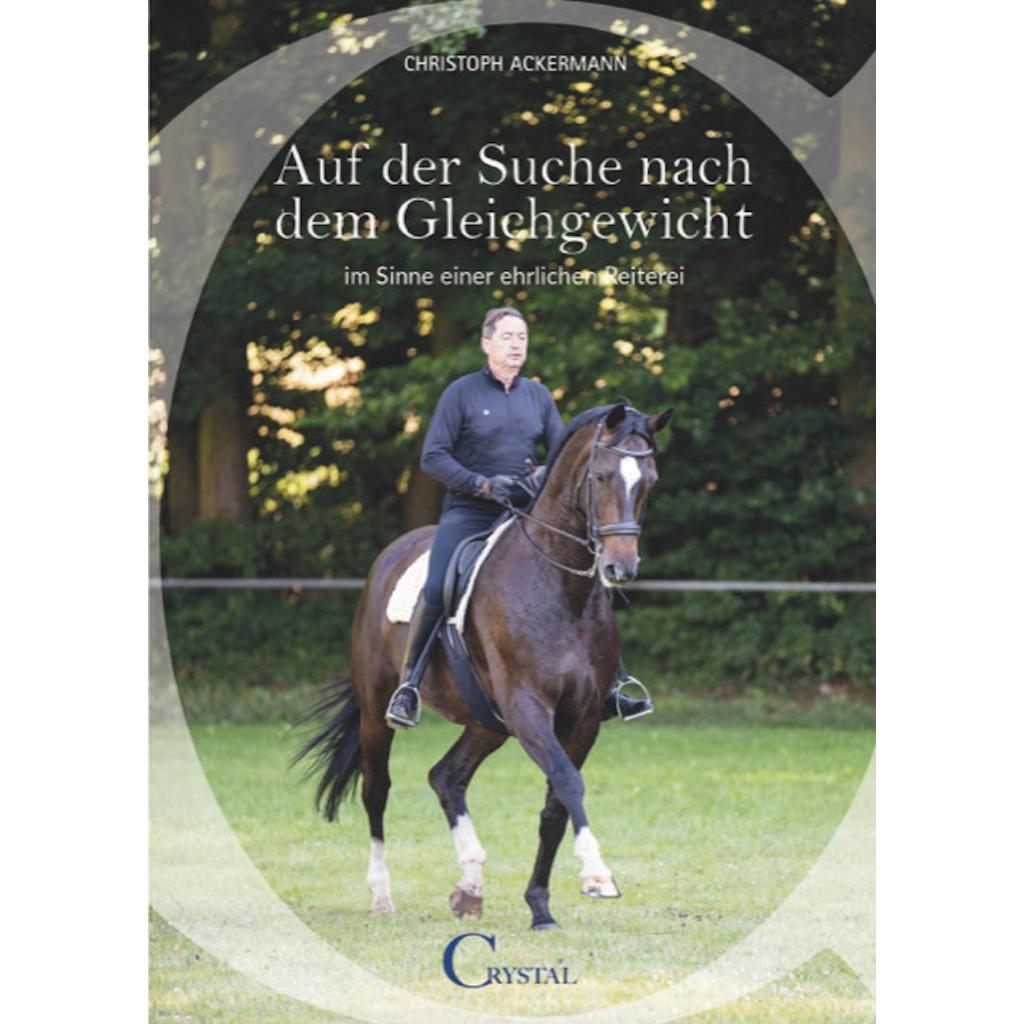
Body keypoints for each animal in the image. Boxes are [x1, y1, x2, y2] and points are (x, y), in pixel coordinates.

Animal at [294, 401, 672, 929]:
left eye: (649, 481)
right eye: (600, 476)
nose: (621, 568)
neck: (557, 587)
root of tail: (391, 556)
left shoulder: (581, 719)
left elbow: (556, 803)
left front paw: (540, 906)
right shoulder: (529, 708)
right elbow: (568, 783)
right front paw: (597, 874)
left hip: (487, 721)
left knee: (446, 776)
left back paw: (470, 887)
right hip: (378, 711)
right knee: (377, 790)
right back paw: (382, 895)